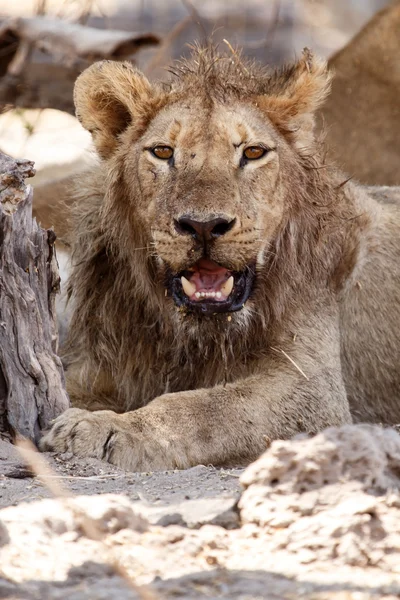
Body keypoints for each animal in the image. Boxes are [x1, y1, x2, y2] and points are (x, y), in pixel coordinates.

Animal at [39, 47, 400, 472]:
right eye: (163, 152)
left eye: (253, 152)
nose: (204, 225)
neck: (191, 335)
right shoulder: (101, 365)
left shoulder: (315, 390)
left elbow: (208, 407)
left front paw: (110, 428)